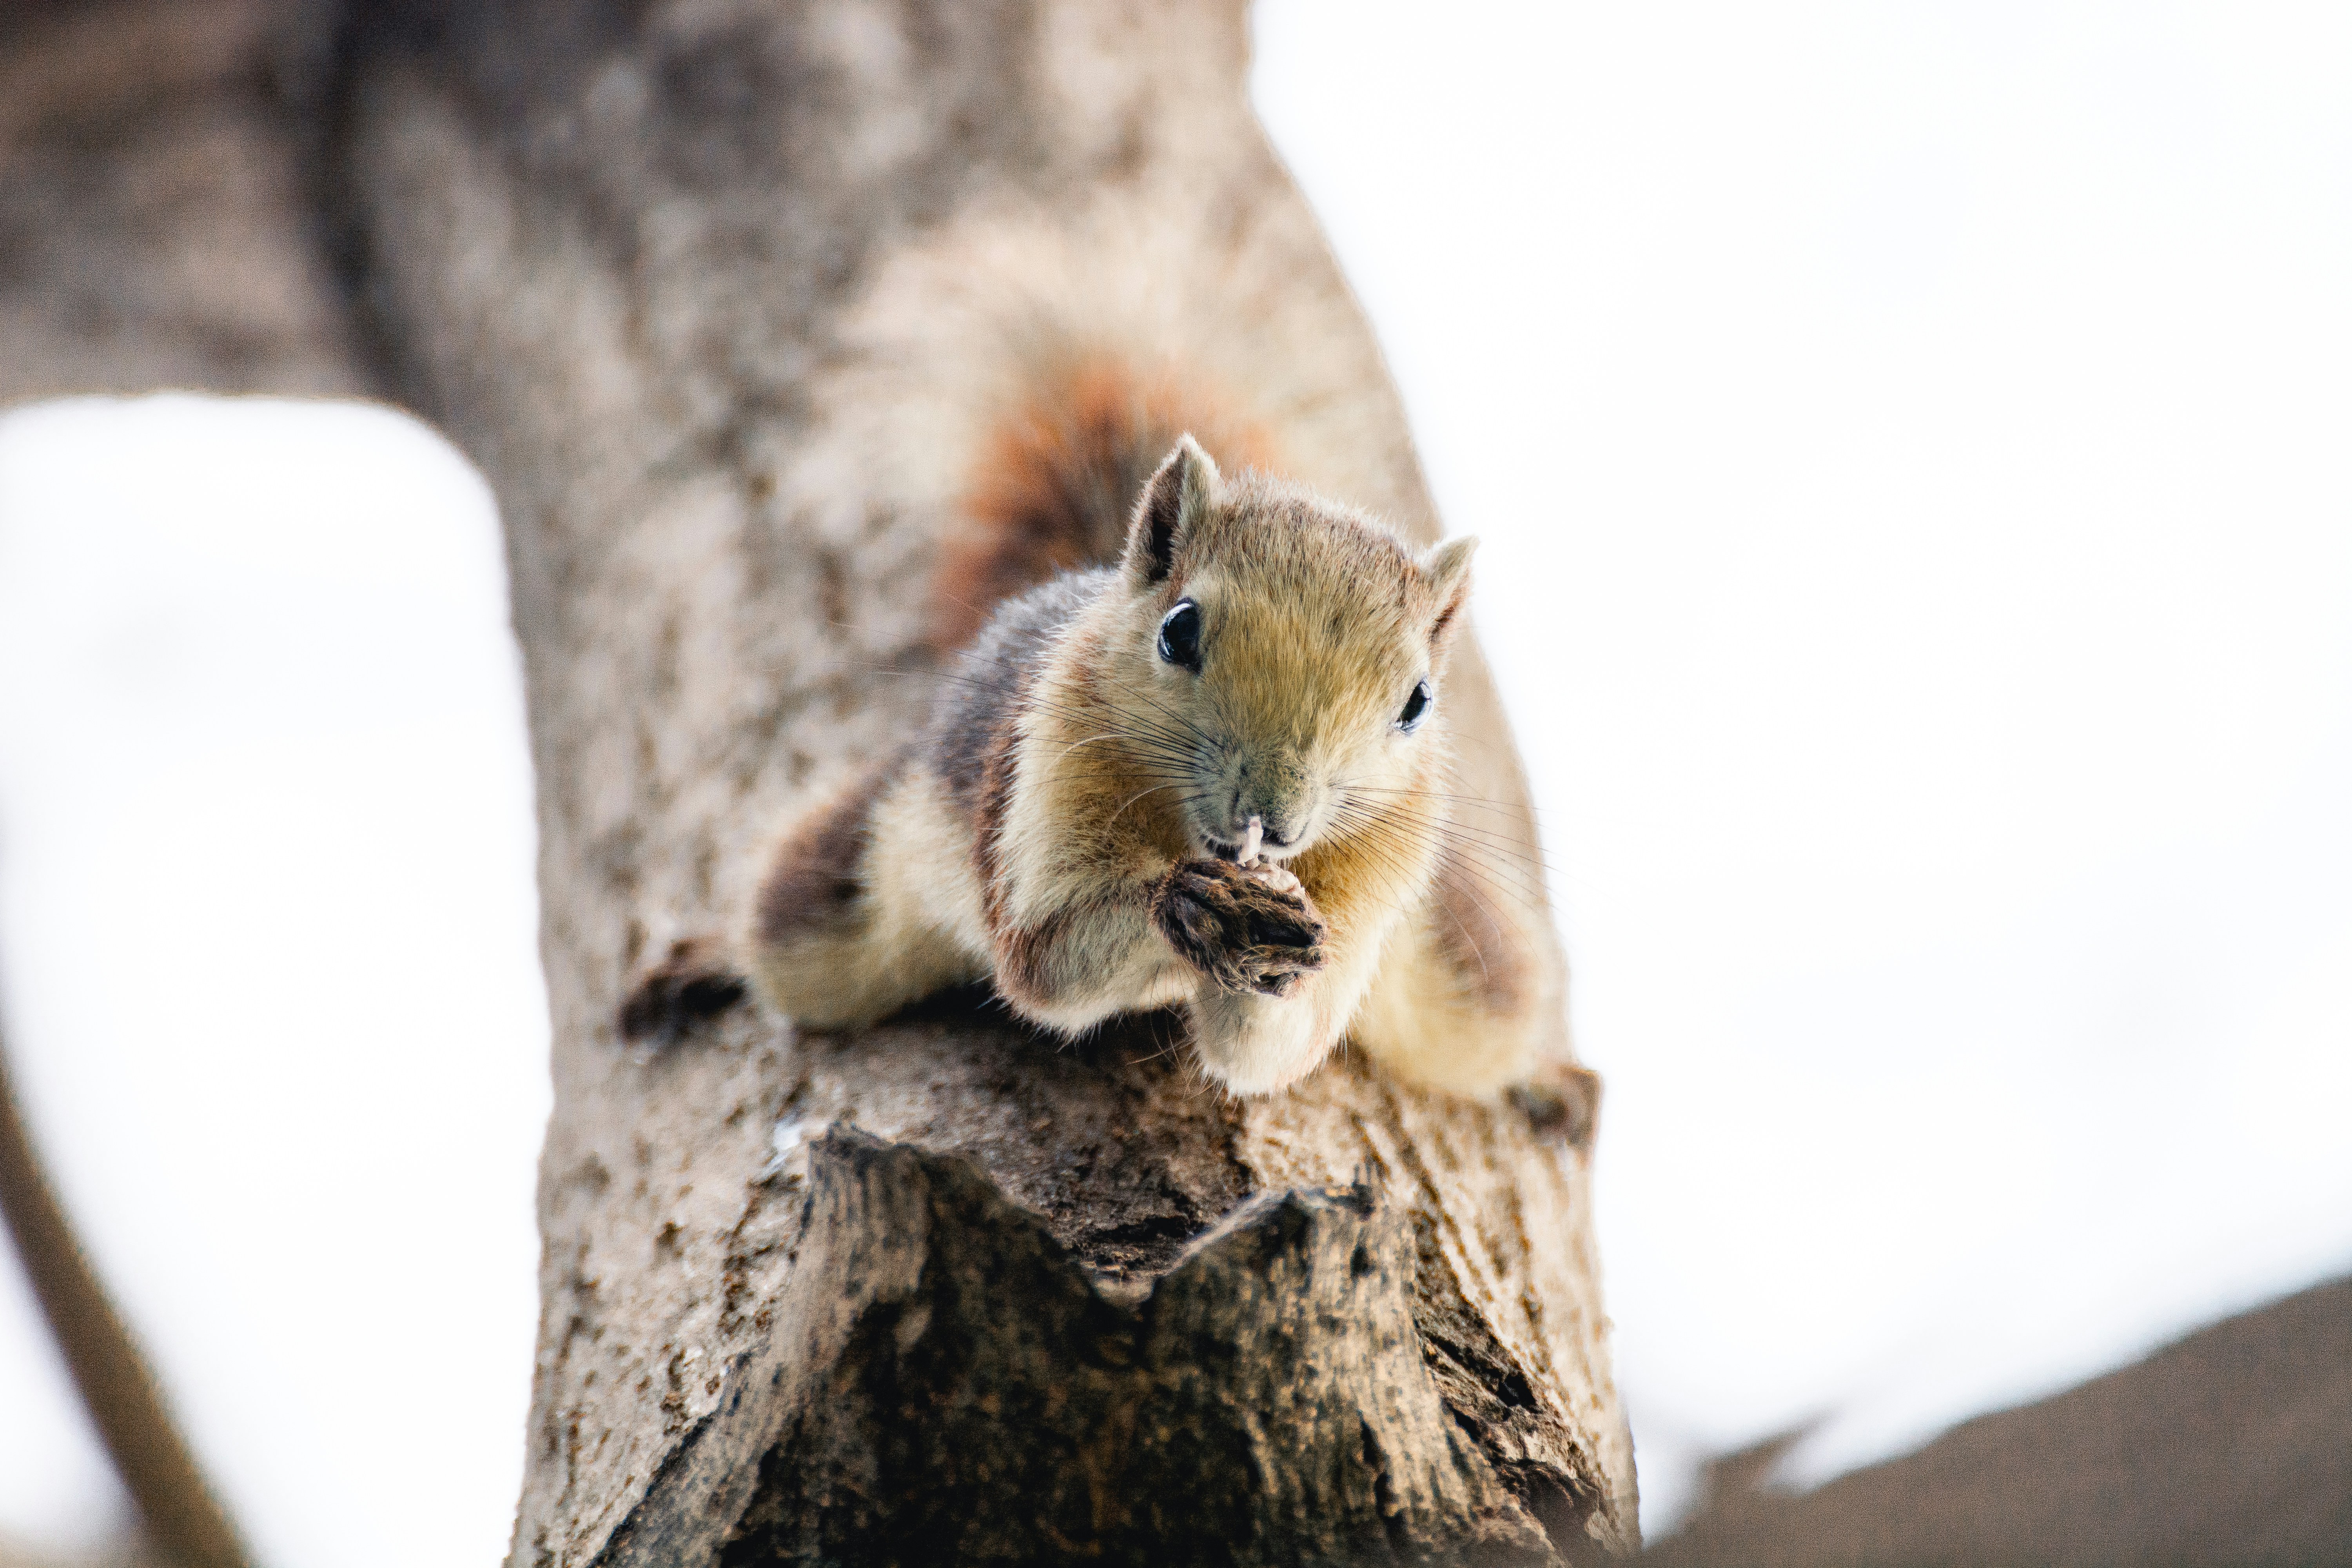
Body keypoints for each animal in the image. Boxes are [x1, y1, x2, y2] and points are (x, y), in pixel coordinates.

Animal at [698, 361, 1557, 1098]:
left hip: (1470, 981)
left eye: (1418, 701)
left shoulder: (1370, 885)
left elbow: (1270, 1049)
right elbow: (1044, 958)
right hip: (841, 897)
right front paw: (1187, 903)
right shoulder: (1042, 779)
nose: (1274, 821)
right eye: (1178, 630)